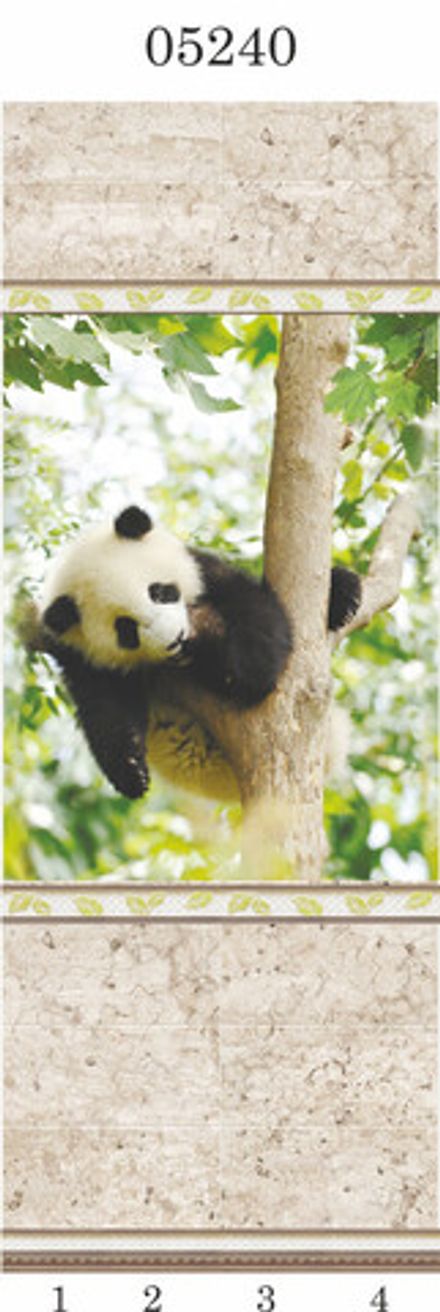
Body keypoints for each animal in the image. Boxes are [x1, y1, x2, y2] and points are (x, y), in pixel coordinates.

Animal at [37, 504, 361, 801]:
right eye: (126, 629)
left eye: (159, 592)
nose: (176, 640)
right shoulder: (80, 656)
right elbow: (106, 706)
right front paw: (131, 769)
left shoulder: (207, 573)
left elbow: (258, 631)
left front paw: (218, 637)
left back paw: (344, 594)